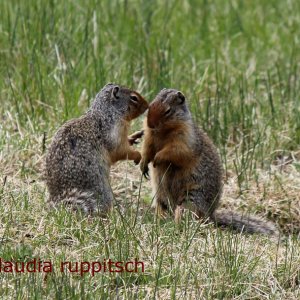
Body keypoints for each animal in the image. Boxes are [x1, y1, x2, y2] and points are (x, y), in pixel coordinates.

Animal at [43, 84, 148, 214]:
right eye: (134, 98)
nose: (148, 106)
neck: (108, 113)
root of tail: (60, 199)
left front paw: (134, 136)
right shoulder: (115, 135)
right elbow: (121, 151)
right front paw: (137, 155)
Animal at [141, 88, 278, 236]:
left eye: (168, 111)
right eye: (149, 106)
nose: (150, 124)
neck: (162, 132)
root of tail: (211, 216)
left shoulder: (185, 137)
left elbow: (176, 151)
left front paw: (157, 157)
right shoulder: (149, 136)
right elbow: (147, 148)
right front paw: (144, 164)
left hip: (191, 198)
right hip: (161, 197)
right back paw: (160, 221)